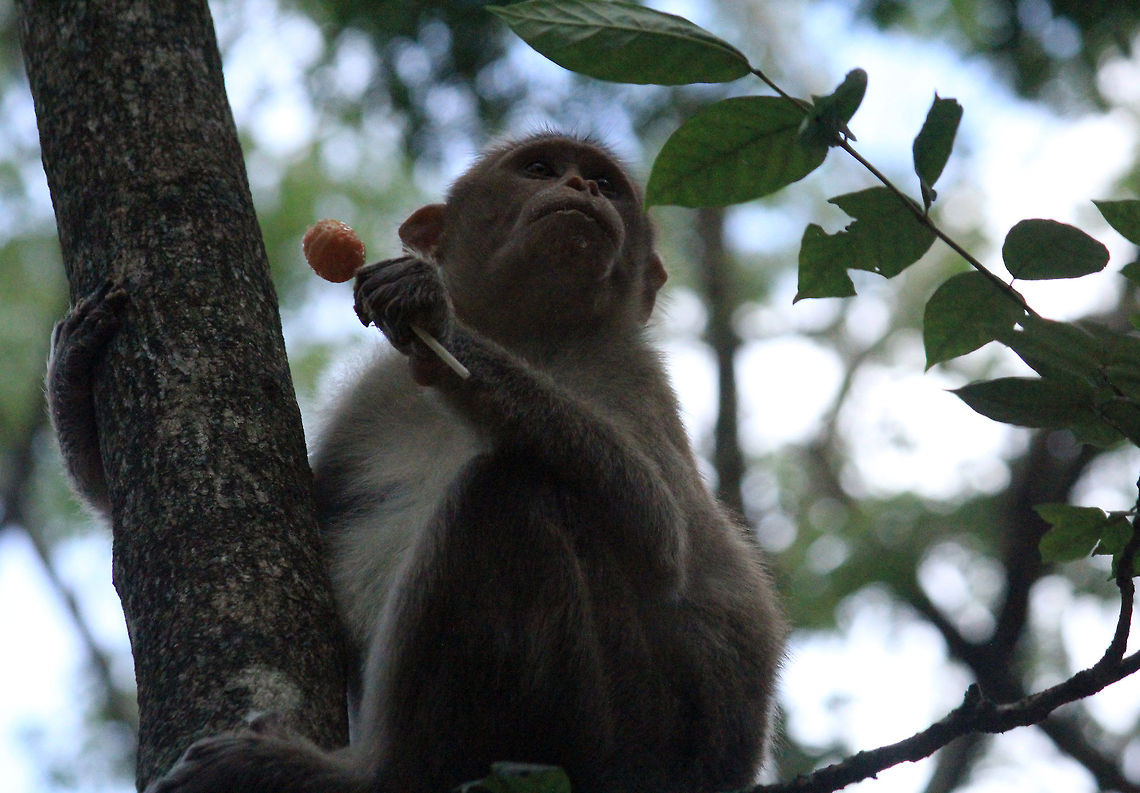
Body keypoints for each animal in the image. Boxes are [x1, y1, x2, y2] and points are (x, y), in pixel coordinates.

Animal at [50, 132, 786, 793]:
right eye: (541, 168)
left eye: (606, 183)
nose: (581, 187)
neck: (530, 334)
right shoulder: (375, 394)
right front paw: (76, 372)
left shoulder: (634, 376)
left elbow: (661, 539)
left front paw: (437, 318)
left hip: (625, 729)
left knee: (510, 490)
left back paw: (366, 776)